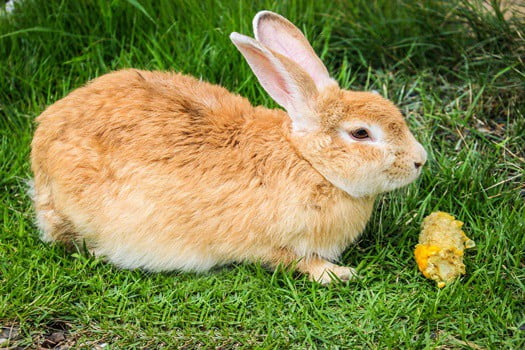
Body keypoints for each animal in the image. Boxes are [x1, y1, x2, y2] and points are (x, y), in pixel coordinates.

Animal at [30, 10, 426, 284]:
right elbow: (297, 261)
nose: (420, 160)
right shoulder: (275, 245)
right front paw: (339, 275)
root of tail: (42, 140)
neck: (309, 162)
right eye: (361, 133)